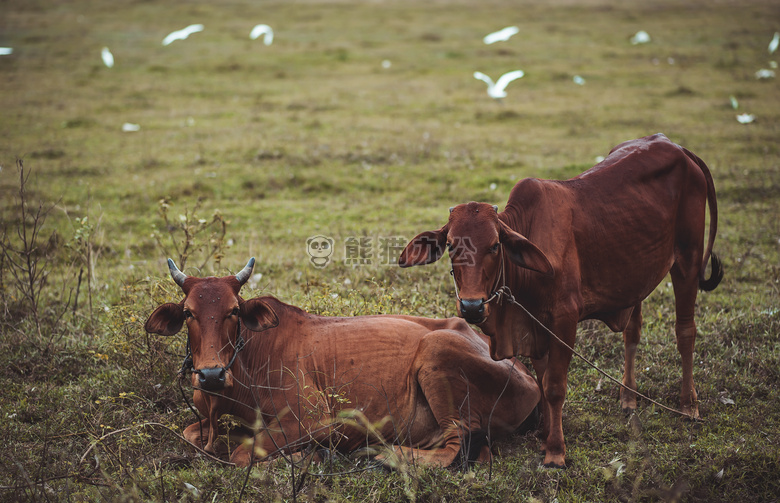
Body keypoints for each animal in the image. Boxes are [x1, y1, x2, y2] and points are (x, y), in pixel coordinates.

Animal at [143, 260, 540, 468]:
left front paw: (308, 457)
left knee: (458, 447)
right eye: (189, 313)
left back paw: (385, 453)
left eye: (233, 311)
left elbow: (242, 455)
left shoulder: (312, 419)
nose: (210, 374)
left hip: (437, 352)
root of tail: (526, 374)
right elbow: (193, 434)